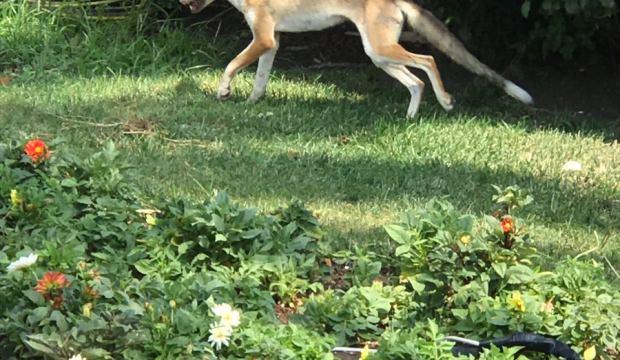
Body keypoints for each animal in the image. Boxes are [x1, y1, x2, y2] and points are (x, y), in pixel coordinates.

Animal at [180, 0, 532, 118]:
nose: (183, 3)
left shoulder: (263, 39)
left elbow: (231, 66)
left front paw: (224, 91)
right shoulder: (273, 43)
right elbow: (260, 80)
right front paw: (253, 103)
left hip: (381, 50)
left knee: (429, 60)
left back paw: (445, 101)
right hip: (379, 56)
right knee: (416, 81)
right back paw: (410, 117)